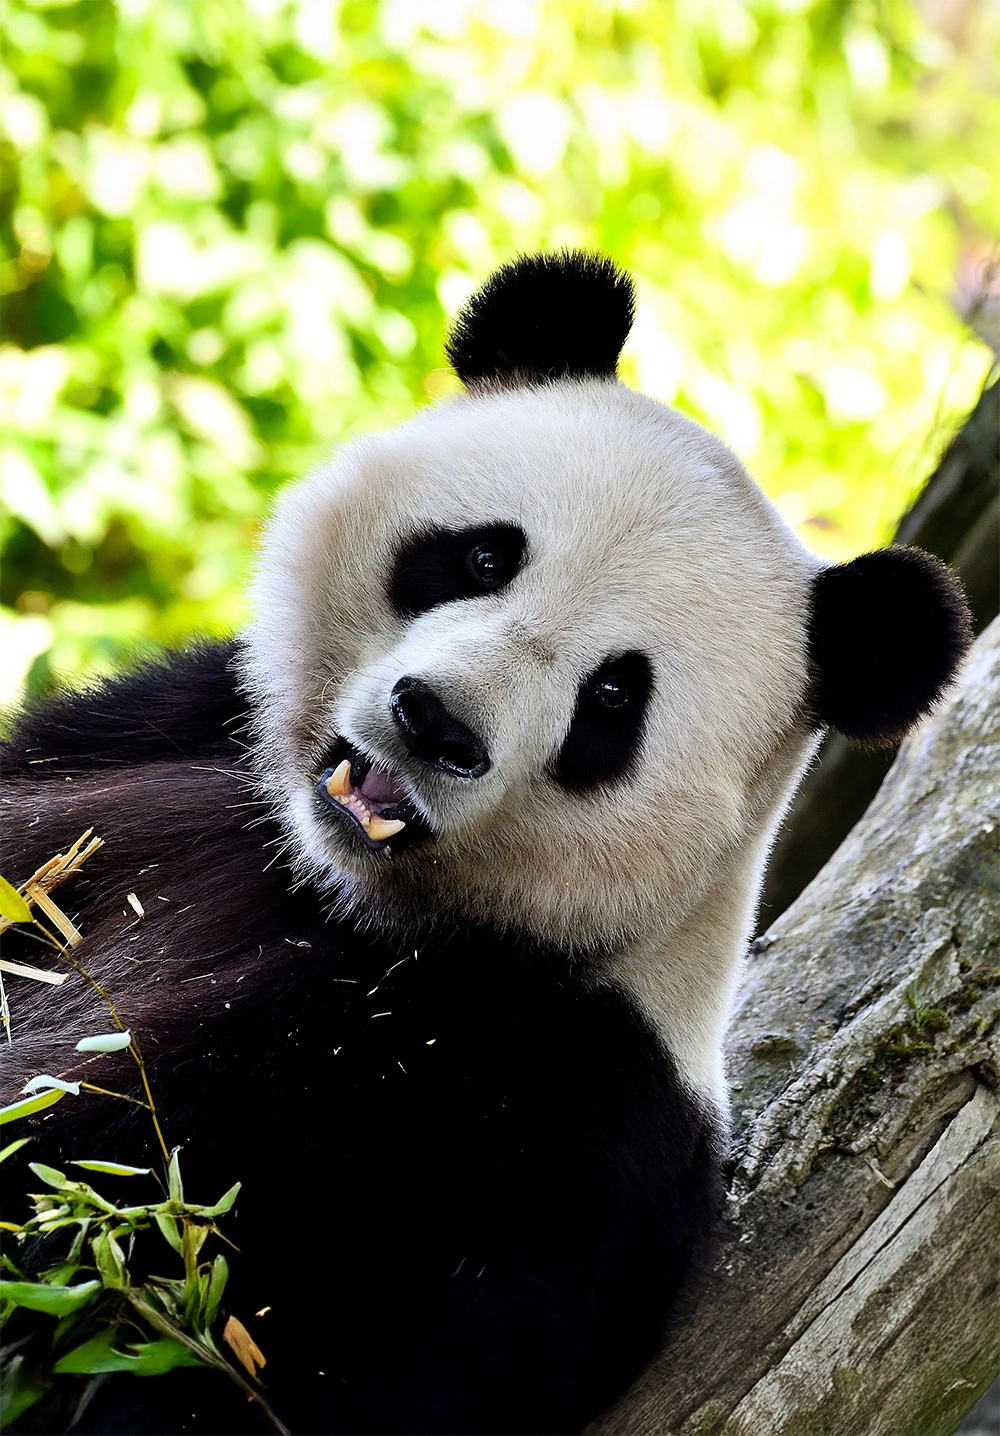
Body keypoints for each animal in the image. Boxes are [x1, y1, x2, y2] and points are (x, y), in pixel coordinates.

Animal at [0, 252, 971, 1436]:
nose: (436, 723)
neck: (345, 884)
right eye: (480, 554)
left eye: (613, 696)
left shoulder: (542, 1098)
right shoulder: (160, 733)